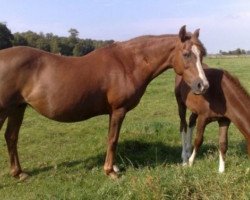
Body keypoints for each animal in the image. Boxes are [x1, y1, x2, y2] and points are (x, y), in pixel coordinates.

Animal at [0, 25, 209, 180]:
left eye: (202, 54)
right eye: (186, 54)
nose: (203, 85)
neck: (127, 64)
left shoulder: (112, 112)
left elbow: (112, 138)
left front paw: (114, 167)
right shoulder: (118, 110)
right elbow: (113, 139)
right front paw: (110, 171)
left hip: (18, 108)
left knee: (11, 137)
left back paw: (19, 173)